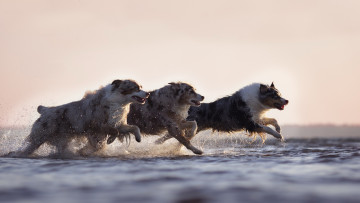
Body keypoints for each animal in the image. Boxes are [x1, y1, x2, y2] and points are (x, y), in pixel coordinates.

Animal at [10, 79, 149, 157]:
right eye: (135, 88)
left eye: (141, 87)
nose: (147, 93)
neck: (118, 101)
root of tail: (45, 110)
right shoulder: (96, 124)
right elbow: (113, 132)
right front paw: (110, 140)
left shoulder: (116, 122)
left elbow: (133, 127)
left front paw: (138, 138)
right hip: (40, 135)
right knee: (29, 147)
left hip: (62, 138)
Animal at [156, 81, 288, 144]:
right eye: (275, 95)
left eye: (279, 94)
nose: (287, 100)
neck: (256, 98)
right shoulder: (249, 123)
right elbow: (267, 128)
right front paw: (279, 136)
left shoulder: (256, 117)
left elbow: (273, 120)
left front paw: (278, 129)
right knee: (167, 135)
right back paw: (156, 143)